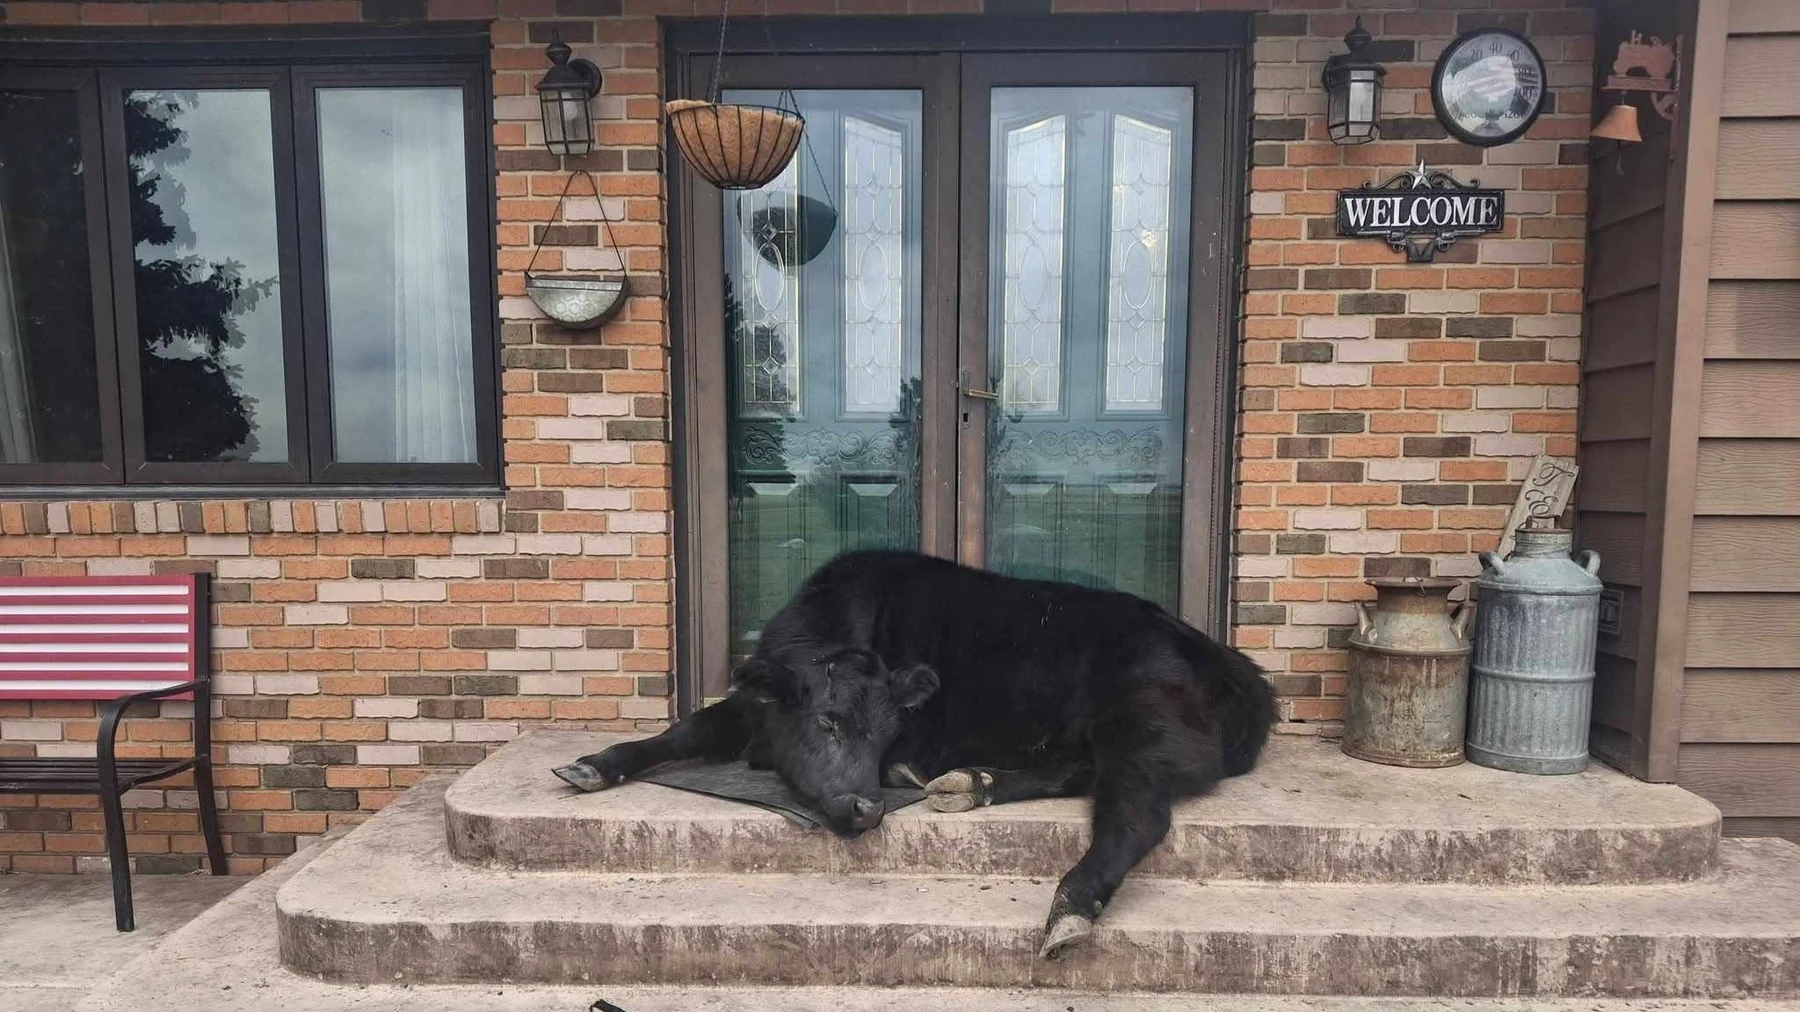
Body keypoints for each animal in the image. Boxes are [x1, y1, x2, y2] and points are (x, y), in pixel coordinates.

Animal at [553, 549, 1277, 958]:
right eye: (827, 719)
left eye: (884, 730)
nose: (867, 807)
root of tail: (1228, 660)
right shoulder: (744, 709)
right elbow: (685, 730)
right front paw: (594, 764)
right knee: (1076, 771)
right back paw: (970, 782)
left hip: (1141, 725)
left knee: (1135, 813)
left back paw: (1069, 908)